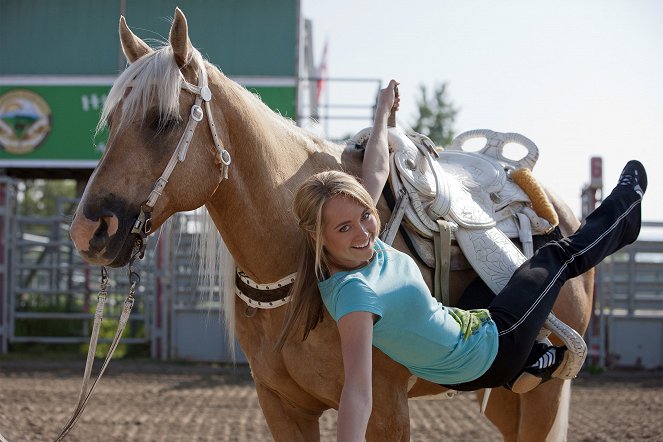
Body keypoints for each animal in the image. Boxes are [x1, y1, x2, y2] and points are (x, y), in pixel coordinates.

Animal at [70, 8, 592, 440]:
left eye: (162, 120)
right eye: (112, 121)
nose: (87, 231)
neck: (296, 264)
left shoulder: (385, 410)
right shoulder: (282, 407)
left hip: (543, 395)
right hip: (508, 394)